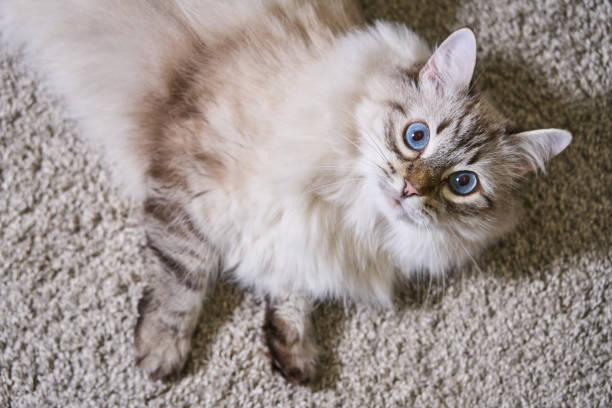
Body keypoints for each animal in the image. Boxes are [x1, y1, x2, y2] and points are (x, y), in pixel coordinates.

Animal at [2, 0, 572, 384]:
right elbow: (182, 282)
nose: (410, 190)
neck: (353, 212)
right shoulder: (194, 186)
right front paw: (163, 350)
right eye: (417, 136)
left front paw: (294, 353)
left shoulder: (301, 237)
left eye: (462, 184)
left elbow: (295, 287)